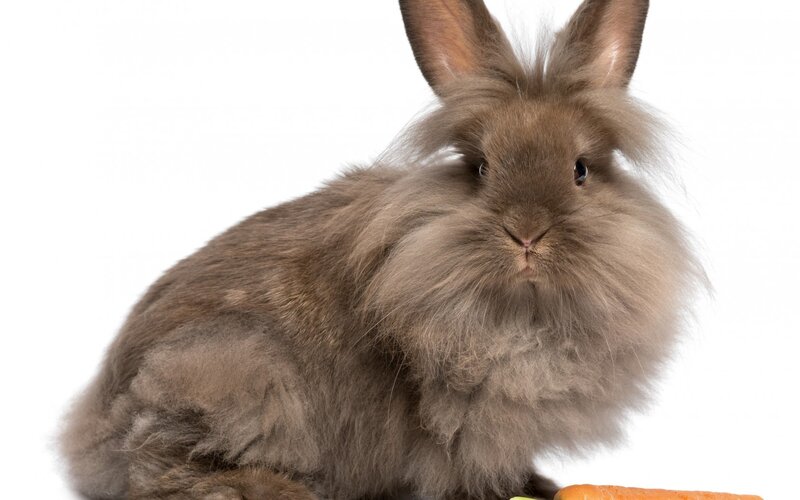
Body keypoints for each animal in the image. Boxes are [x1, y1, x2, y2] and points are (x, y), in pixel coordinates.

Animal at [60, 0, 703, 499]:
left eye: (581, 169)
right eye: (479, 168)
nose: (526, 234)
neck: (522, 312)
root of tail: (93, 427)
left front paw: (540, 484)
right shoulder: (461, 421)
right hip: (228, 371)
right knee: (164, 467)